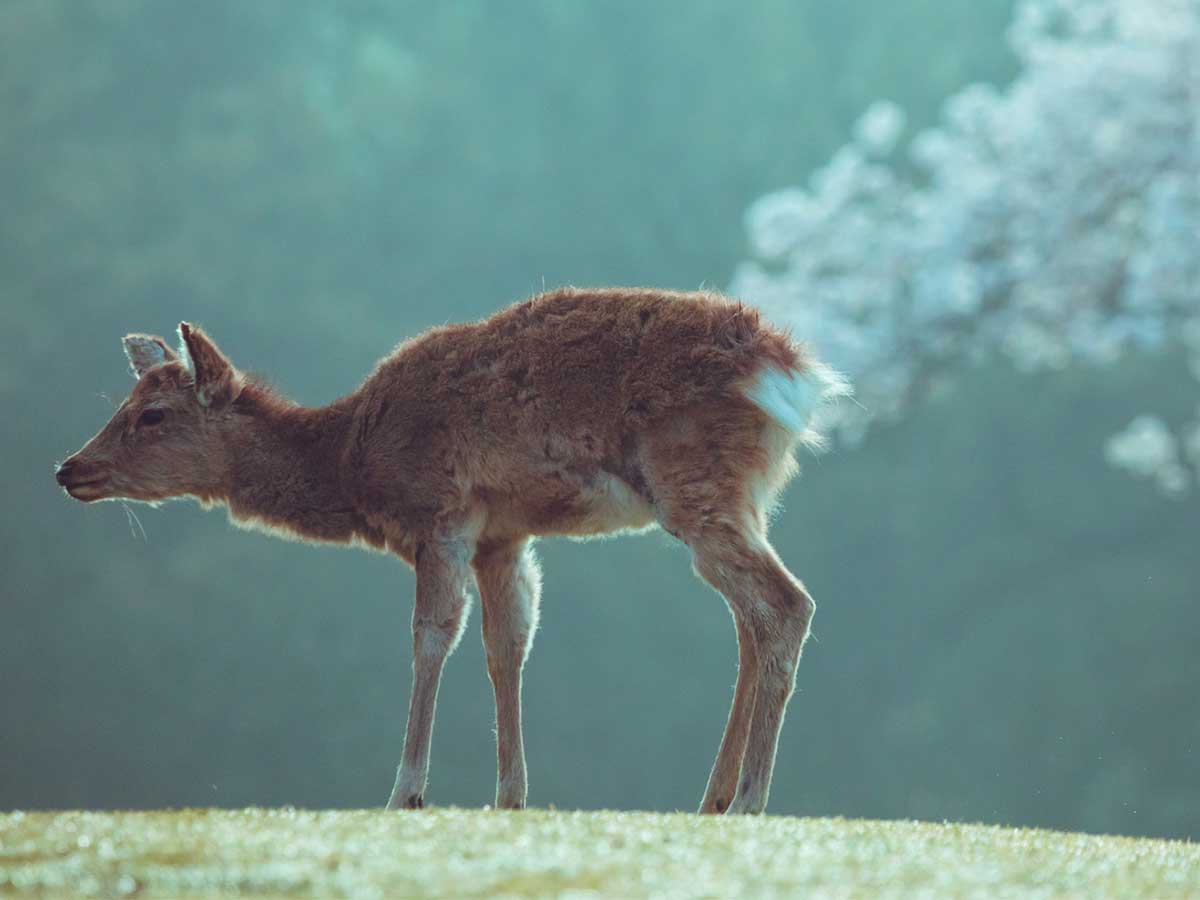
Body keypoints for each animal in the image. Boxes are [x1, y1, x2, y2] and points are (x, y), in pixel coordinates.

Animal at [56, 289, 849, 816]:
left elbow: (431, 638)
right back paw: (712, 798)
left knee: (787, 603)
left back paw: (748, 800)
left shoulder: (440, 515)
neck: (351, 460)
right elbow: (507, 647)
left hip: (695, 484)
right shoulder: (504, 535)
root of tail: (795, 373)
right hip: (743, 497)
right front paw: (511, 797)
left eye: (153, 415)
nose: (68, 468)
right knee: (751, 619)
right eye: (122, 404)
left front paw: (406, 792)